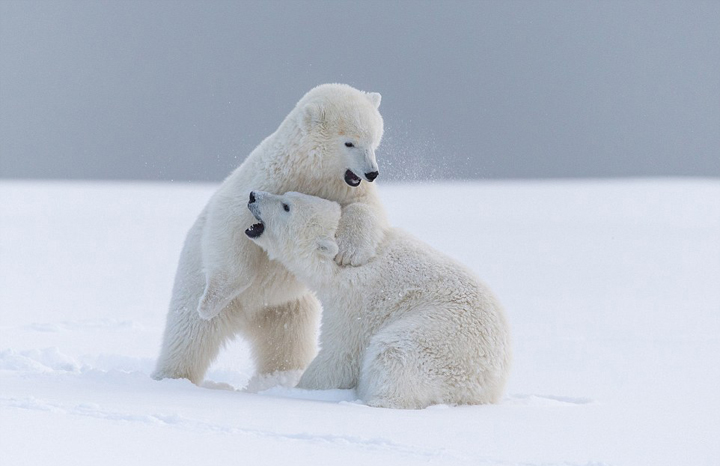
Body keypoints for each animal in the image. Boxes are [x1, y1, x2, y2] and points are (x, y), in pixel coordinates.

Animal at [152, 83, 388, 386]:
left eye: (374, 140)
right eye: (350, 142)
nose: (372, 172)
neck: (308, 170)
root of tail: (250, 312)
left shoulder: (343, 188)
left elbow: (367, 208)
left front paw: (350, 251)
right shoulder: (265, 179)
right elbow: (227, 226)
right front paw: (213, 300)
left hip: (287, 305)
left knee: (287, 340)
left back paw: (281, 375)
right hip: (191, 278)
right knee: (189, 335)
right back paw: (173, 376)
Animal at [246, 189, 512, 408]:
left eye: (286, 206)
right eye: (286, 195)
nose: (253, 195)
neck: (337, 266)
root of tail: (489, 388)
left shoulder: (354, 304)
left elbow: (340, 358)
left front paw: (297, 388)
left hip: (441, 338)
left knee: (395, 352)